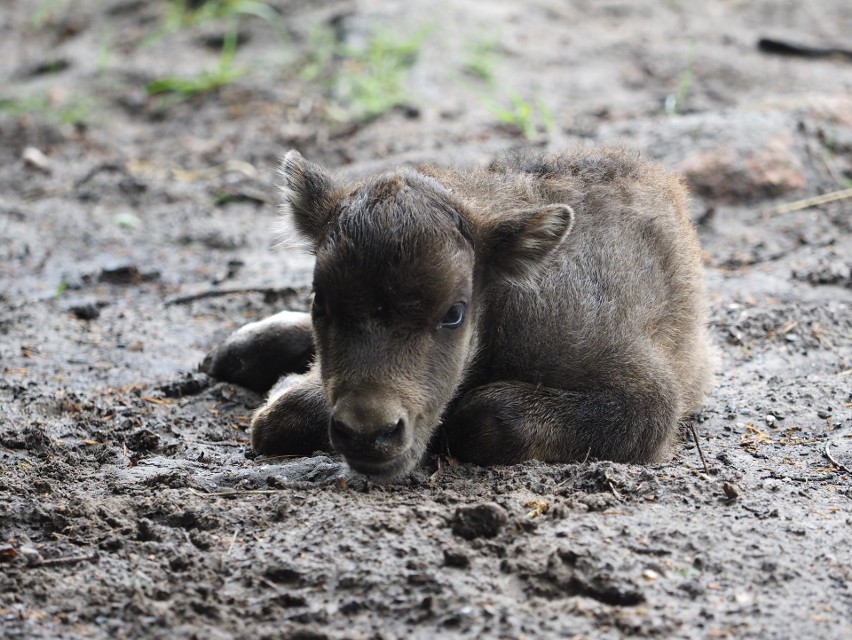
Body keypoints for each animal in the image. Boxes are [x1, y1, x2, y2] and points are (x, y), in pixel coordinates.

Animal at [206, 149, 712, 480]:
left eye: (454, 313)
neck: (505, 302)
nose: (369, 434)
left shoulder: (646, 400)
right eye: (320, 301)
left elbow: (484, 413)